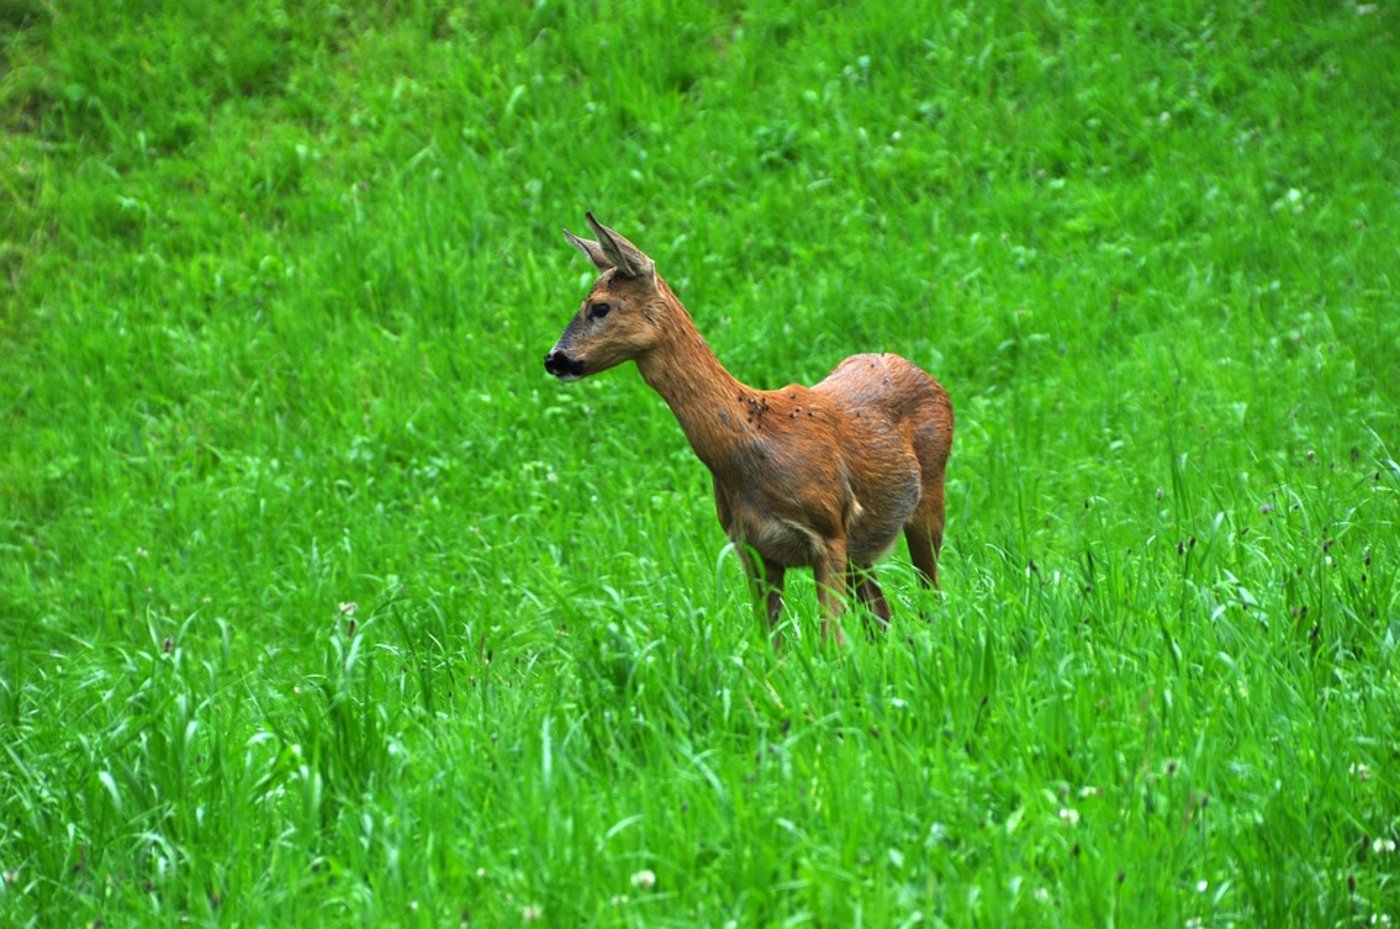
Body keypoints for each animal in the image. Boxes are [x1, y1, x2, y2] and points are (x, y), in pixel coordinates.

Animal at [544, 214, 953, 645]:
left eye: (600, 307)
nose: (554, 359)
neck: (755, 449)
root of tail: (928, 377)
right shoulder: (752, 548)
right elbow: (771, 643)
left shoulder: (829, 530)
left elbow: (831, 640)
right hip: (864, 545)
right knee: (882, 613)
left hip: (927, 497)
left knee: (930, 597)